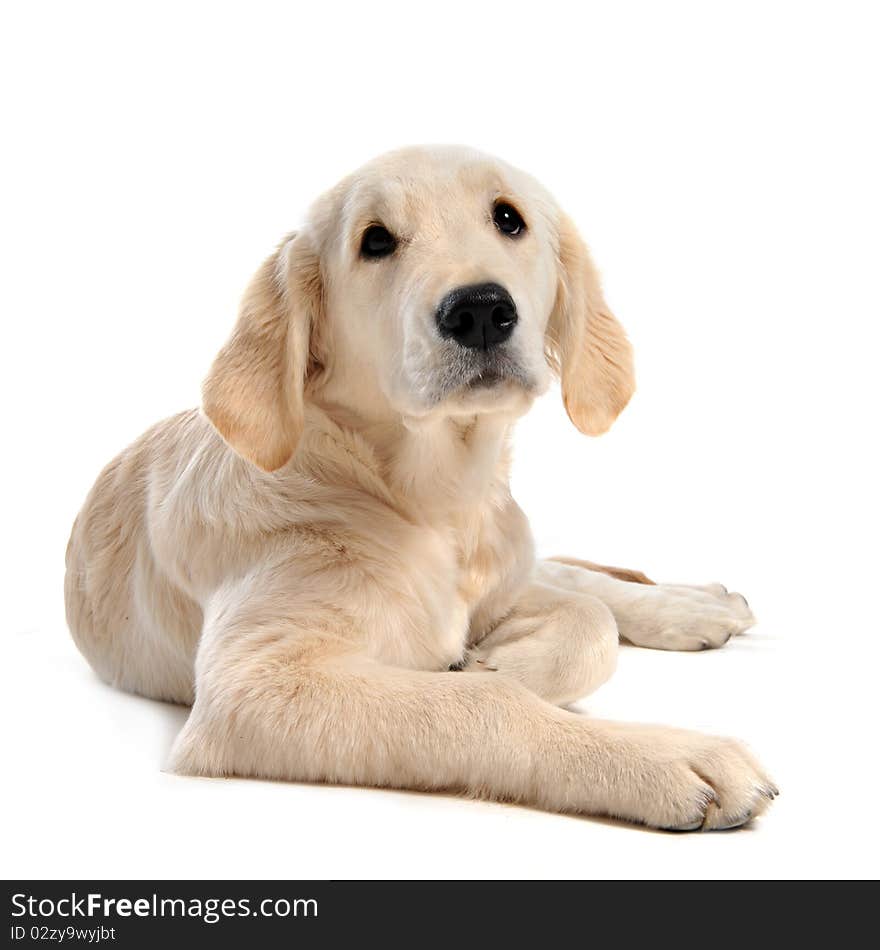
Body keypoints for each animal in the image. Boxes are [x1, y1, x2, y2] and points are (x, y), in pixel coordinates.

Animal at [63, 145, 776, 828]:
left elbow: (581, 625)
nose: (481, 310)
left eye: (509, 218)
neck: (429, 496)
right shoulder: (253, 686)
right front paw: (663, 753)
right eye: (375, 240)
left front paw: (500, 658)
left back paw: (696, 606)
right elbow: (487, 701)